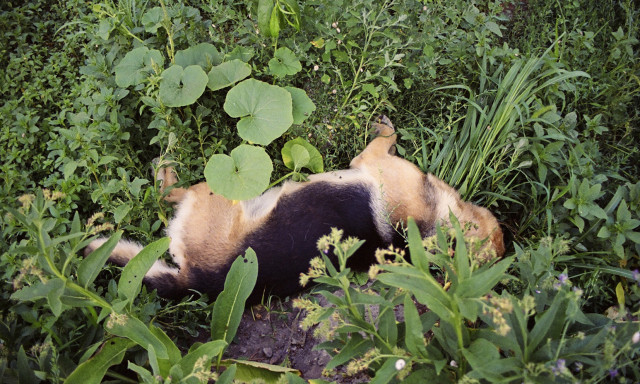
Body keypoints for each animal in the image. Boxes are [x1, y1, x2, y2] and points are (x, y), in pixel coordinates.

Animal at [86, 116, 504, 300]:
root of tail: (197, 280)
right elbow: (390, 136)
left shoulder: (369, 159)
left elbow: (386, 138)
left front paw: (384, 127)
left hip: (218, 194)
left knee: (169, 190)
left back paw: (167, 150)